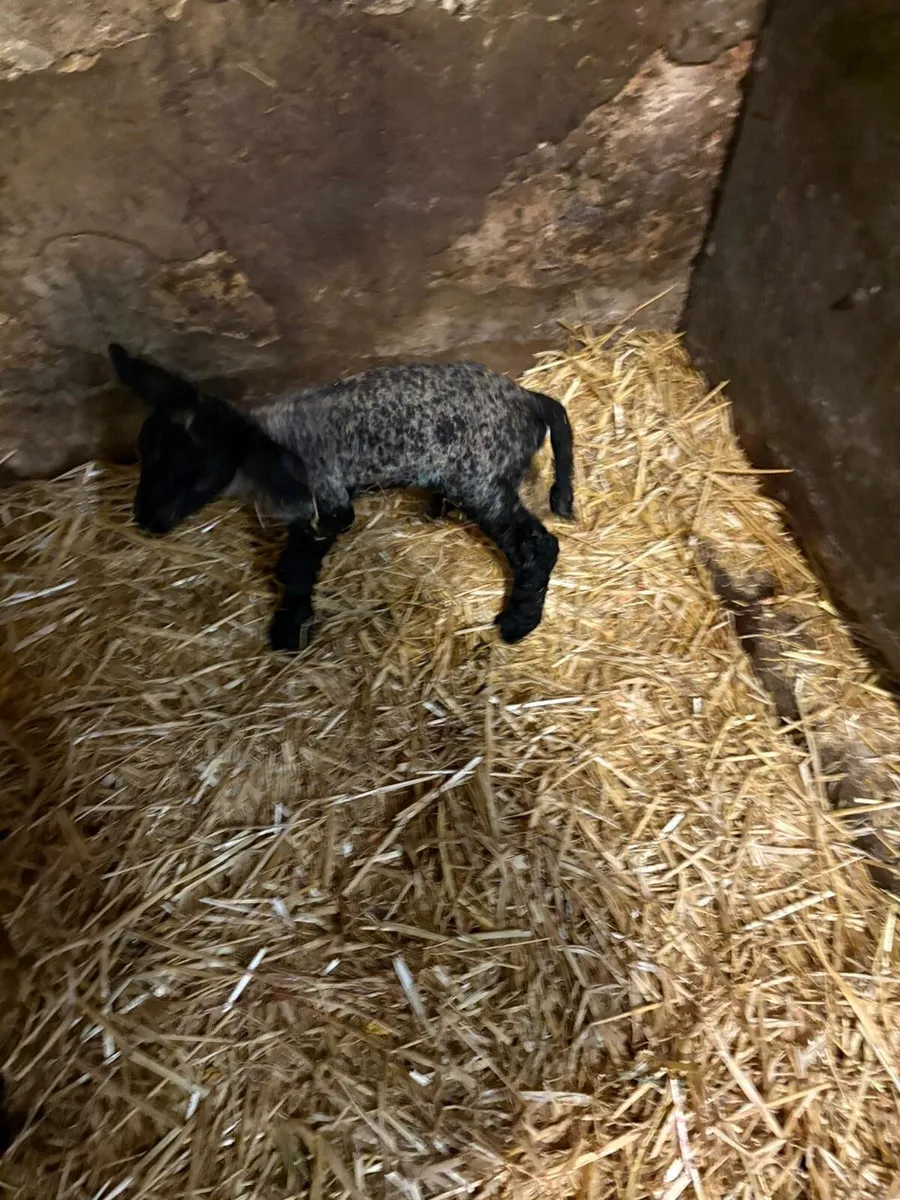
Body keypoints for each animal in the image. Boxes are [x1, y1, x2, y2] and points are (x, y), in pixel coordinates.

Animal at [108, 344, 574, 652]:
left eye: (191, 468)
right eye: (145, 456)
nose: (146, 520)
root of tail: (529, 399)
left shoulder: (327, 505)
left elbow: (297, 568)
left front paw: (289, 629)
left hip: (481, 479)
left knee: (537, 546)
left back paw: (518, 622)